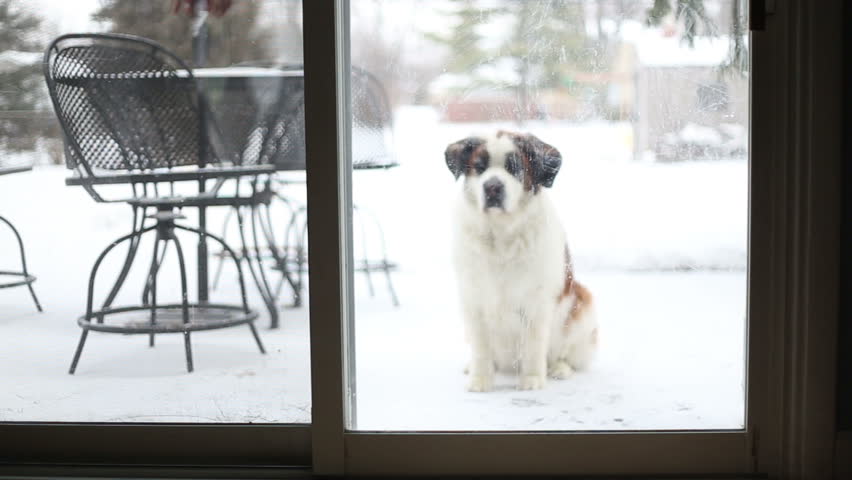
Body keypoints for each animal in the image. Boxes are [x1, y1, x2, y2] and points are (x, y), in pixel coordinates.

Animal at [446, 130, 600, 390]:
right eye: (479, 167)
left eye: (514, 167)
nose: (493, 187)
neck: (500, 233)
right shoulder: (473, 299)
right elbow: (481, 346)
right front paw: (480, 379)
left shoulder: (537, 301)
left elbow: (533, 345)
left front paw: (532, 379)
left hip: (583, 303)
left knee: (566, 354)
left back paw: (559, 368)